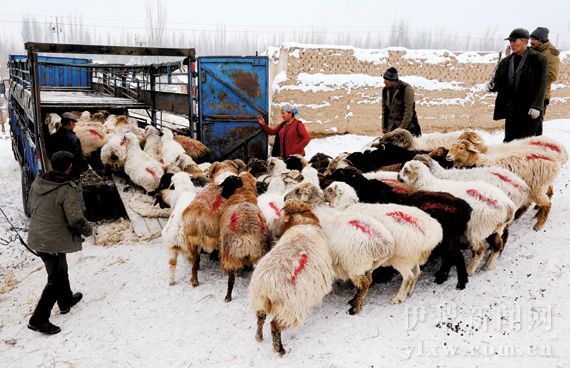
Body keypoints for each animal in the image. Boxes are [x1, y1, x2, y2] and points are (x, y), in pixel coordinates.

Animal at [219, 172, 270, 302]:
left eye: (227, 182)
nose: (221, 194)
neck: (242, 195)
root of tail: (247, 238)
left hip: (229, 256)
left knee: (231, 280)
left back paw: (227, 297)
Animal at [247, 198, 332, 356]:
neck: (301, 224)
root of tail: (266, 285)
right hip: (289, 307)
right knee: (274, 325)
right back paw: (280, 350)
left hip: (260, 301)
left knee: (260, 318)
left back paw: (258, 337)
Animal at [282, 183, 390, 314]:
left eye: (297, 191)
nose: (284, 198)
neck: (315, 208)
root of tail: (384, 245)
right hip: (368, 266)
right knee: (368, 281)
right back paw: (354, 300)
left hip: (355, 265)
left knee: (364, 284)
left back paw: (355, 308)